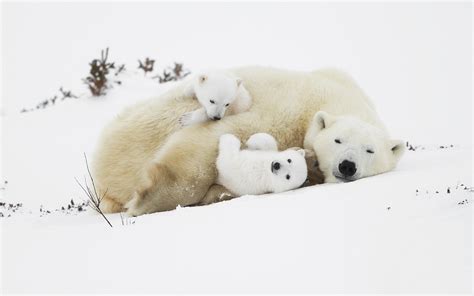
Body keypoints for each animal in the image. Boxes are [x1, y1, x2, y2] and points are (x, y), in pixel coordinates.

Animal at [92, 66, 404, 215]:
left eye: (369, 150)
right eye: (338, 140)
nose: (348, 166)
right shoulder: (286, 106)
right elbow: (215, 139)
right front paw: (147, 201)